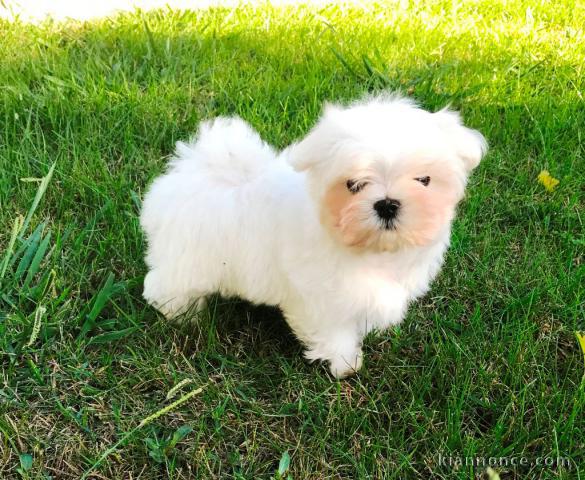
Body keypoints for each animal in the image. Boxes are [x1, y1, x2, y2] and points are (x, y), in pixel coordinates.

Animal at [139, 94, 486, 378]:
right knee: (165, 283)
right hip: (187, 256)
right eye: (353, 184)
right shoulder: (322, 295)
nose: (387, 204)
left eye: (424, 179)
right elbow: (333, 331)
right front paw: (345, 364)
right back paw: (180, 314)